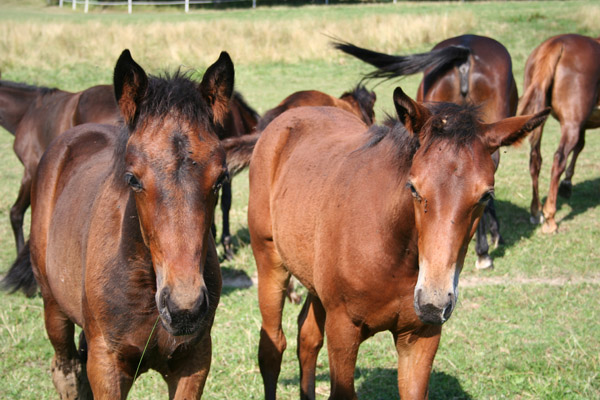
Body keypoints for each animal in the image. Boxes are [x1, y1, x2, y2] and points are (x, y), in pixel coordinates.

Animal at [245, 88, 548, 400]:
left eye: (486, 195)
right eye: (413, 187)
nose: (432, 303)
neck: (392, 253)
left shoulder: (421, 337)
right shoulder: (343, 328)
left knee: (307, 337)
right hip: (270, 262)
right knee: (272, 345)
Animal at [516, 34, 600, 234]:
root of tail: (557, 43)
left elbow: (580, 146)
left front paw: (567, 184)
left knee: (535, 159)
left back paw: (535, 211)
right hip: (571, 123)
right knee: (558, 159)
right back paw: (550, 218)